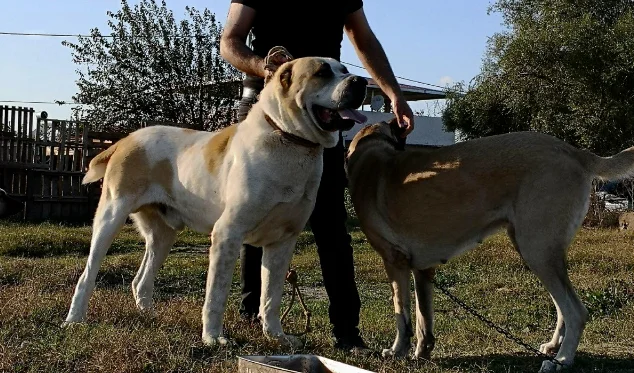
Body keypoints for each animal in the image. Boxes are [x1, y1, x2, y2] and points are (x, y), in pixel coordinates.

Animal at [61, 56, 368, 348]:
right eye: (322, 72)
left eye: (343, 69)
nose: (361, 81)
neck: (288, 139)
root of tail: (126, 139)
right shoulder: (227, 234)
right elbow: (216, 295)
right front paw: (212, 338)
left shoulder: (282, 243)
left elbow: (271, 298)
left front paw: (276, 337)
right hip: (110, 218)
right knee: (87, 276)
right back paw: (75, 320)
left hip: (163, 235)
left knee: (141, 281)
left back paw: (150, 316)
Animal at [344, 118, 632, 372]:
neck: (373, 159)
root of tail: (575, 152)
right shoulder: (423, 270)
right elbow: (423, 319)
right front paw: (421, 352)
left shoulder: (394, 263)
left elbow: (402, 316)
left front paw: (397, 351)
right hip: (538, 251)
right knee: (563, 307)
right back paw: (553, 347)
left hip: (537, 251)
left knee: (576, 312)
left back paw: (561, 361)